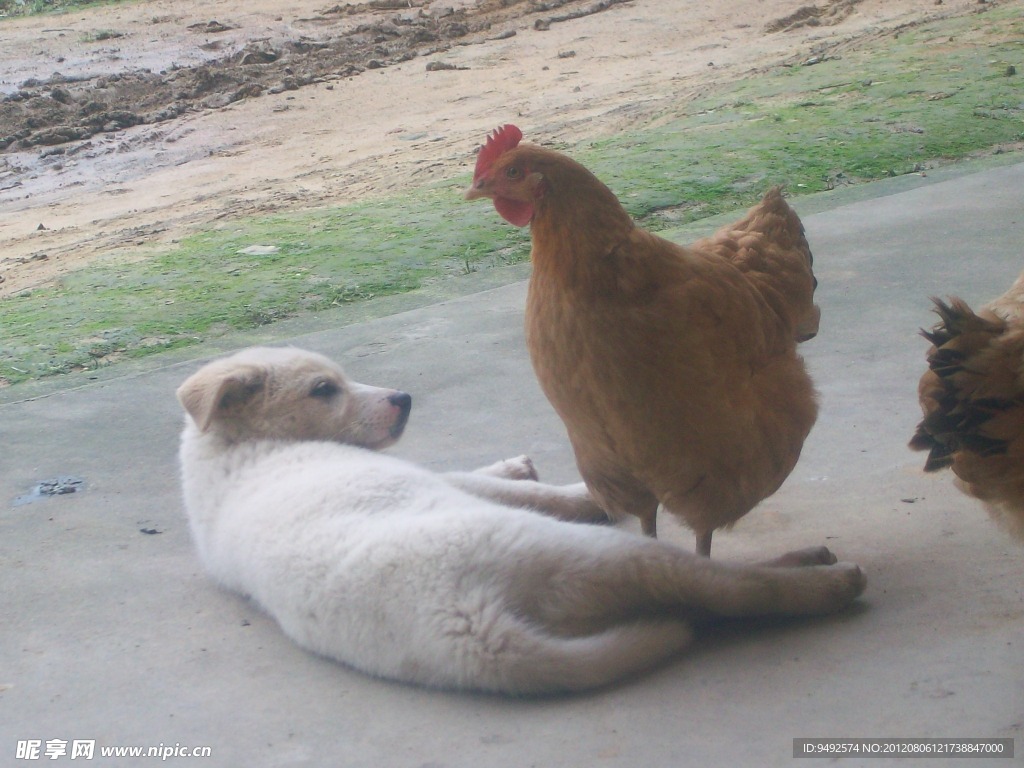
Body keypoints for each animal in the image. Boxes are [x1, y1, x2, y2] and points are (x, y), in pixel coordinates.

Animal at [176, 348, 864, 696]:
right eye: (324, 390)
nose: (404, 399)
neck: (233, 446)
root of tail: (471, 630)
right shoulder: (446, 484)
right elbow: (498, 485)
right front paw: (581, 491)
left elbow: (491, 476)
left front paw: (518, 466)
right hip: (592, 554)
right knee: (731, 588)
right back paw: (819, 578)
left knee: (703, 601)